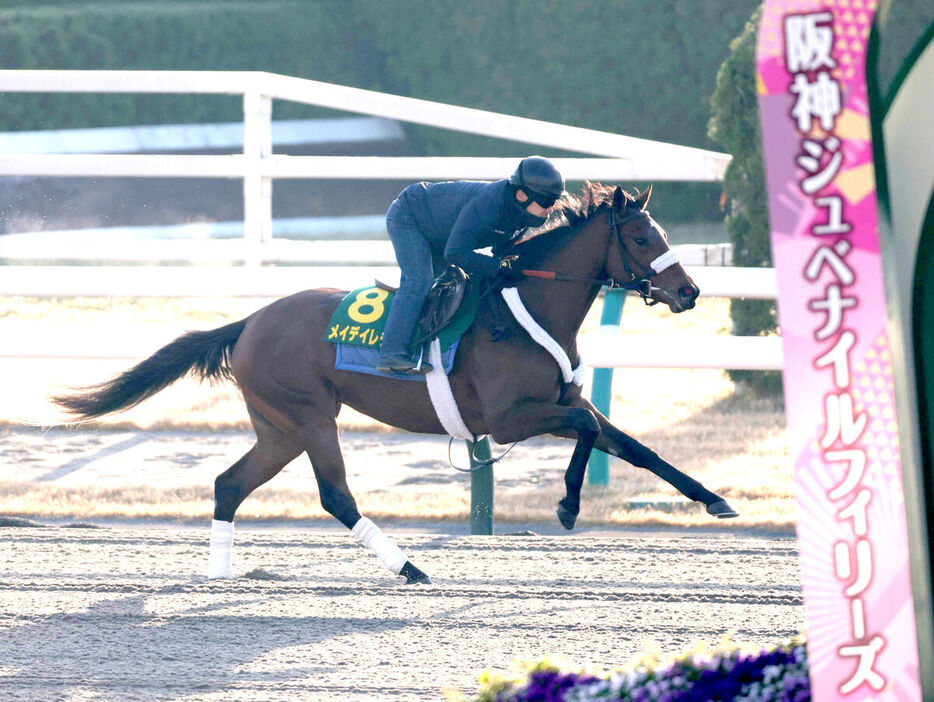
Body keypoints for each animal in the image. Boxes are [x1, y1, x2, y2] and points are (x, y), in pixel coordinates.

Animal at [53, 179, 740, 584]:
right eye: (643, 236)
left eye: (662, 234)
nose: (689, 291)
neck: (528, 308)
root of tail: (249, 321)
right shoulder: (508, 418)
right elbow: (586, 427)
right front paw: (568, 507)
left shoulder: (557, 401)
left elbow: (634, 446)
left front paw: (714, 499)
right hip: (310, 418)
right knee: (335, 497)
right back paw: (409, 567)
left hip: (279, 428)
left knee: (230, 484)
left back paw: (222, 573)